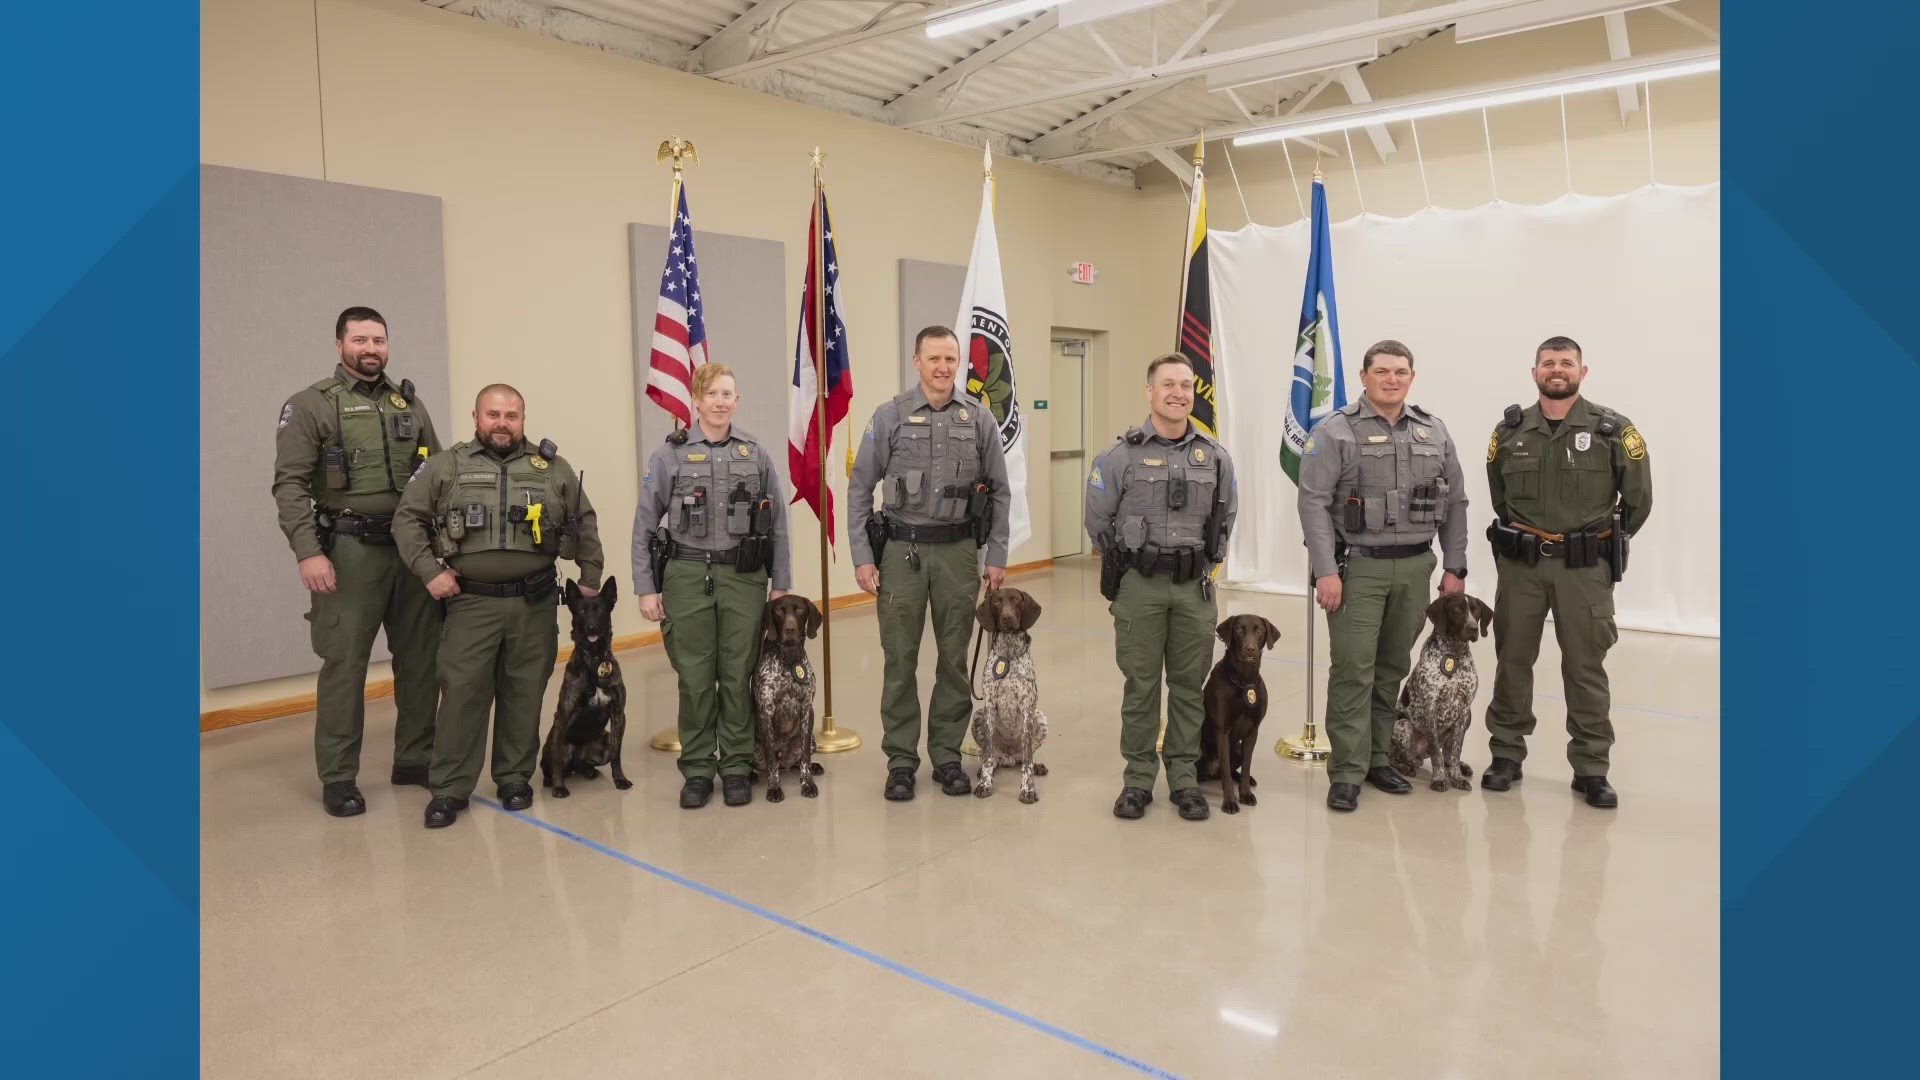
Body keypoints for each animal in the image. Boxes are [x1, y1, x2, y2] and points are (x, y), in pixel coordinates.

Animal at [541, 576, 629, 795]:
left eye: (600, 609)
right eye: (581, 611)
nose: (591, 627)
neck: (595, 660)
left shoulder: (618, 714)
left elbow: (617, 754)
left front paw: (620, 779)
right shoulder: (563, 716)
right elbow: (556, 761)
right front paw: (559, 787)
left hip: (604, 741)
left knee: (584, 764)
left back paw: (588, 771)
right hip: (558, 742)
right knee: (552, 763)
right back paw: (551, 780)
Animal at [748, 588, 825, 799]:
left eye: (799, 609)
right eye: (779, 611)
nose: (790, 629)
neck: (789, 660)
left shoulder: (807, 709)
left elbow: (805, 758)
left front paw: (808, 783)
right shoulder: (766, 710)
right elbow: (771, 760)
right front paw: (774, 788)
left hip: (812, 739)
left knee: (798, 762)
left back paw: (814, 767)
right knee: (767, 764)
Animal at [975, 584, 1052, 803]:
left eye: (1017, 600)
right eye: (996, 601)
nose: (1007, 617)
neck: (1008, 653)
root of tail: (1008, 757)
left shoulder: (1027, 709)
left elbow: (1027, 760)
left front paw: (1027, 789)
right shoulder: (989, 708)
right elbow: (987, 756)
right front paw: (985, 783)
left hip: (1040, 717)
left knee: (1024, 758)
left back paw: (1036, 765)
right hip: (978, 716)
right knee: (992, 757)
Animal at [1198, 611, 1274, 810]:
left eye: (1260, 630)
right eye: (1239, 629)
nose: (1250, 649)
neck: (1243, 680)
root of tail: (1211, 771)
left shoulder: (1252, 731)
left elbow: (1247, 766)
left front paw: (1245, 794)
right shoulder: (1222, 731)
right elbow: (1225, 770)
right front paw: (1230, 802)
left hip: (1237, 749)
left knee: (1235, 771)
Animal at [1397, 588, 1497, 791]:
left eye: (1476, 611)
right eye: (1457, 610)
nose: (1473, 628)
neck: (1453, 652)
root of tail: (1419, 756)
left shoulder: (1464, 711)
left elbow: (1455, 751)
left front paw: (1456, 777)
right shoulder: (1429, 709)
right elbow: (1437, 753)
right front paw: (1439, 778)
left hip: (1466, 719)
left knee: (1449, 755)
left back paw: (1460, 766)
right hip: (1403, 725)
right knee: (1395, 757)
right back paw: (1405, 767)